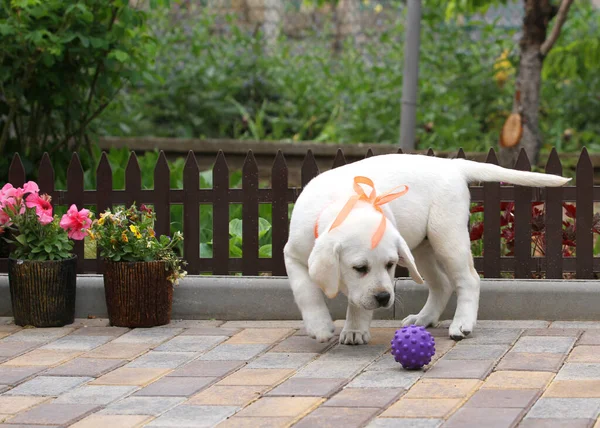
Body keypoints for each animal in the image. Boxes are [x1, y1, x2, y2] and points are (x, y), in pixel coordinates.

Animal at [284, 154, 568, 344]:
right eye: (359, 268)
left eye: (389, 265)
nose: (384, 298)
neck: (343, 205)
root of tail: (452, 164)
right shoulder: (293, 255)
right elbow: (306, 291)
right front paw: (321, 325)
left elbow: (356, 301)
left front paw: (352, 329)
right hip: (421, 249)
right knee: (442, 284)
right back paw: (424, 318)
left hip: (447, 237)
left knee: (469, 280)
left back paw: (462, 324)